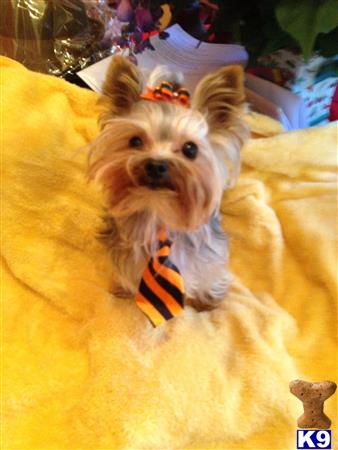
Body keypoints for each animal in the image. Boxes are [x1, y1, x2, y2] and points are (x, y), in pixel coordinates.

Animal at [88, 55, 248, 312]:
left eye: (190, 149)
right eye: (135, 141)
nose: (156, 165)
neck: (159, 211)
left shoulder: (210, 257)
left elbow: (210, 276)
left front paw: (207, 301)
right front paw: (122, 290)